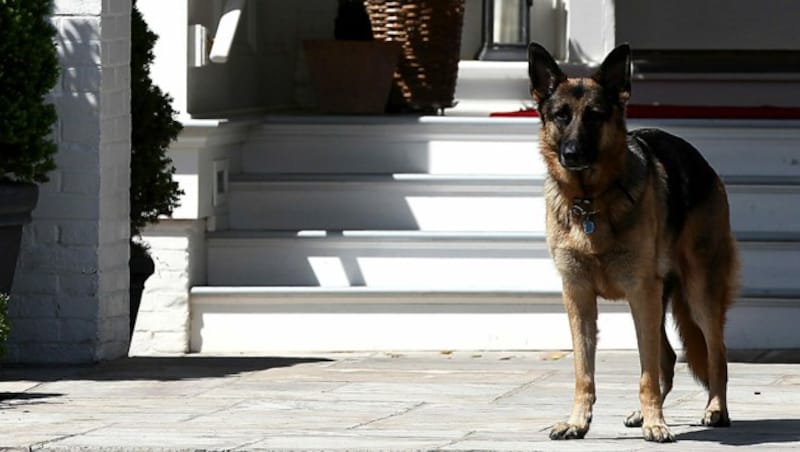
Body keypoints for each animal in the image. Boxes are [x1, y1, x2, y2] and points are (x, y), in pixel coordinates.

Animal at [528, 44, 740, 444]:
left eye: (594, 116)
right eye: (561, 116)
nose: (572, 154)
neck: (590, 201)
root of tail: (701, 161)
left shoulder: (641, 293)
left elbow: (647, 374)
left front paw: (656, 423)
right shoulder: (578, 296)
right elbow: (584, 372)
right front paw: (578, 421)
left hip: (697, 295)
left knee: (715, 354)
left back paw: (715, 410)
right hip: (656, 300)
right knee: (669, 358)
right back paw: (644, 414)